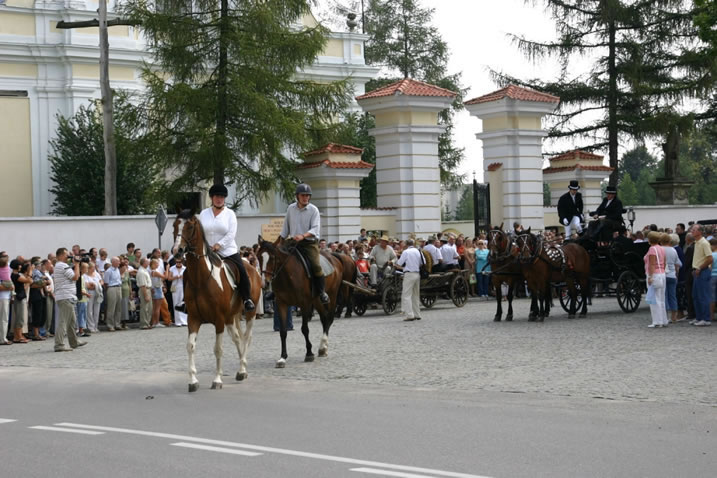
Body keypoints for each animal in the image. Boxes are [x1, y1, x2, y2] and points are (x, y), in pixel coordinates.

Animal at [172, 211, 262, 392]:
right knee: (237, 338)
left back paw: (243, 368)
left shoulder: (219, 319)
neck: (201, 278)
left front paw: (217, 380)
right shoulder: (194, 319)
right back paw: (241, 369)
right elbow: (190, 346)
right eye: (174, 225)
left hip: (249, 313)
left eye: (189, 226)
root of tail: (252, 267)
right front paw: (193, 381)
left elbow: (218, 349)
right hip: (231, 317)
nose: (177, 251)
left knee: (246, 337)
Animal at [257, 236, 344, 368]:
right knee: (324, 318)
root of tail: (333, 257)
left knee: (329, 318)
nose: (264, 283)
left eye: (272, 258)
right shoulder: (281, 304)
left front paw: (309, 353)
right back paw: (322, 348)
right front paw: (282, 357)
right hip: (317, 300)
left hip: (332, 295)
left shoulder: (304, 304)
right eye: (258, 257)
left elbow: (305, 329)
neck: (288, 276)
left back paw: (323, 346)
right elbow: (283, 331)